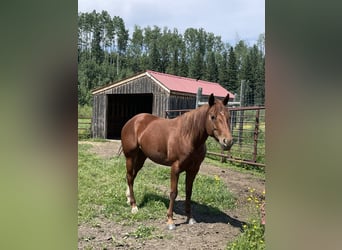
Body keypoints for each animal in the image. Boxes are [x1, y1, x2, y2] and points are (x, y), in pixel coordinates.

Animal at [119, 93, 232, 229]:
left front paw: (190, 217)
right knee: (130, 176)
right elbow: (173, 192)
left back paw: (128, 198)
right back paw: (134, 206)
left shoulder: (193, 169)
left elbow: (189, 192)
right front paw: (170, 221)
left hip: (141, 157)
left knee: (131, 176)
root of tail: (132, 121)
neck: (188, 136)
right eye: (213, 117)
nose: (228, 142)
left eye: (228, 116)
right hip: (130, 157)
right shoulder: (175, 168)